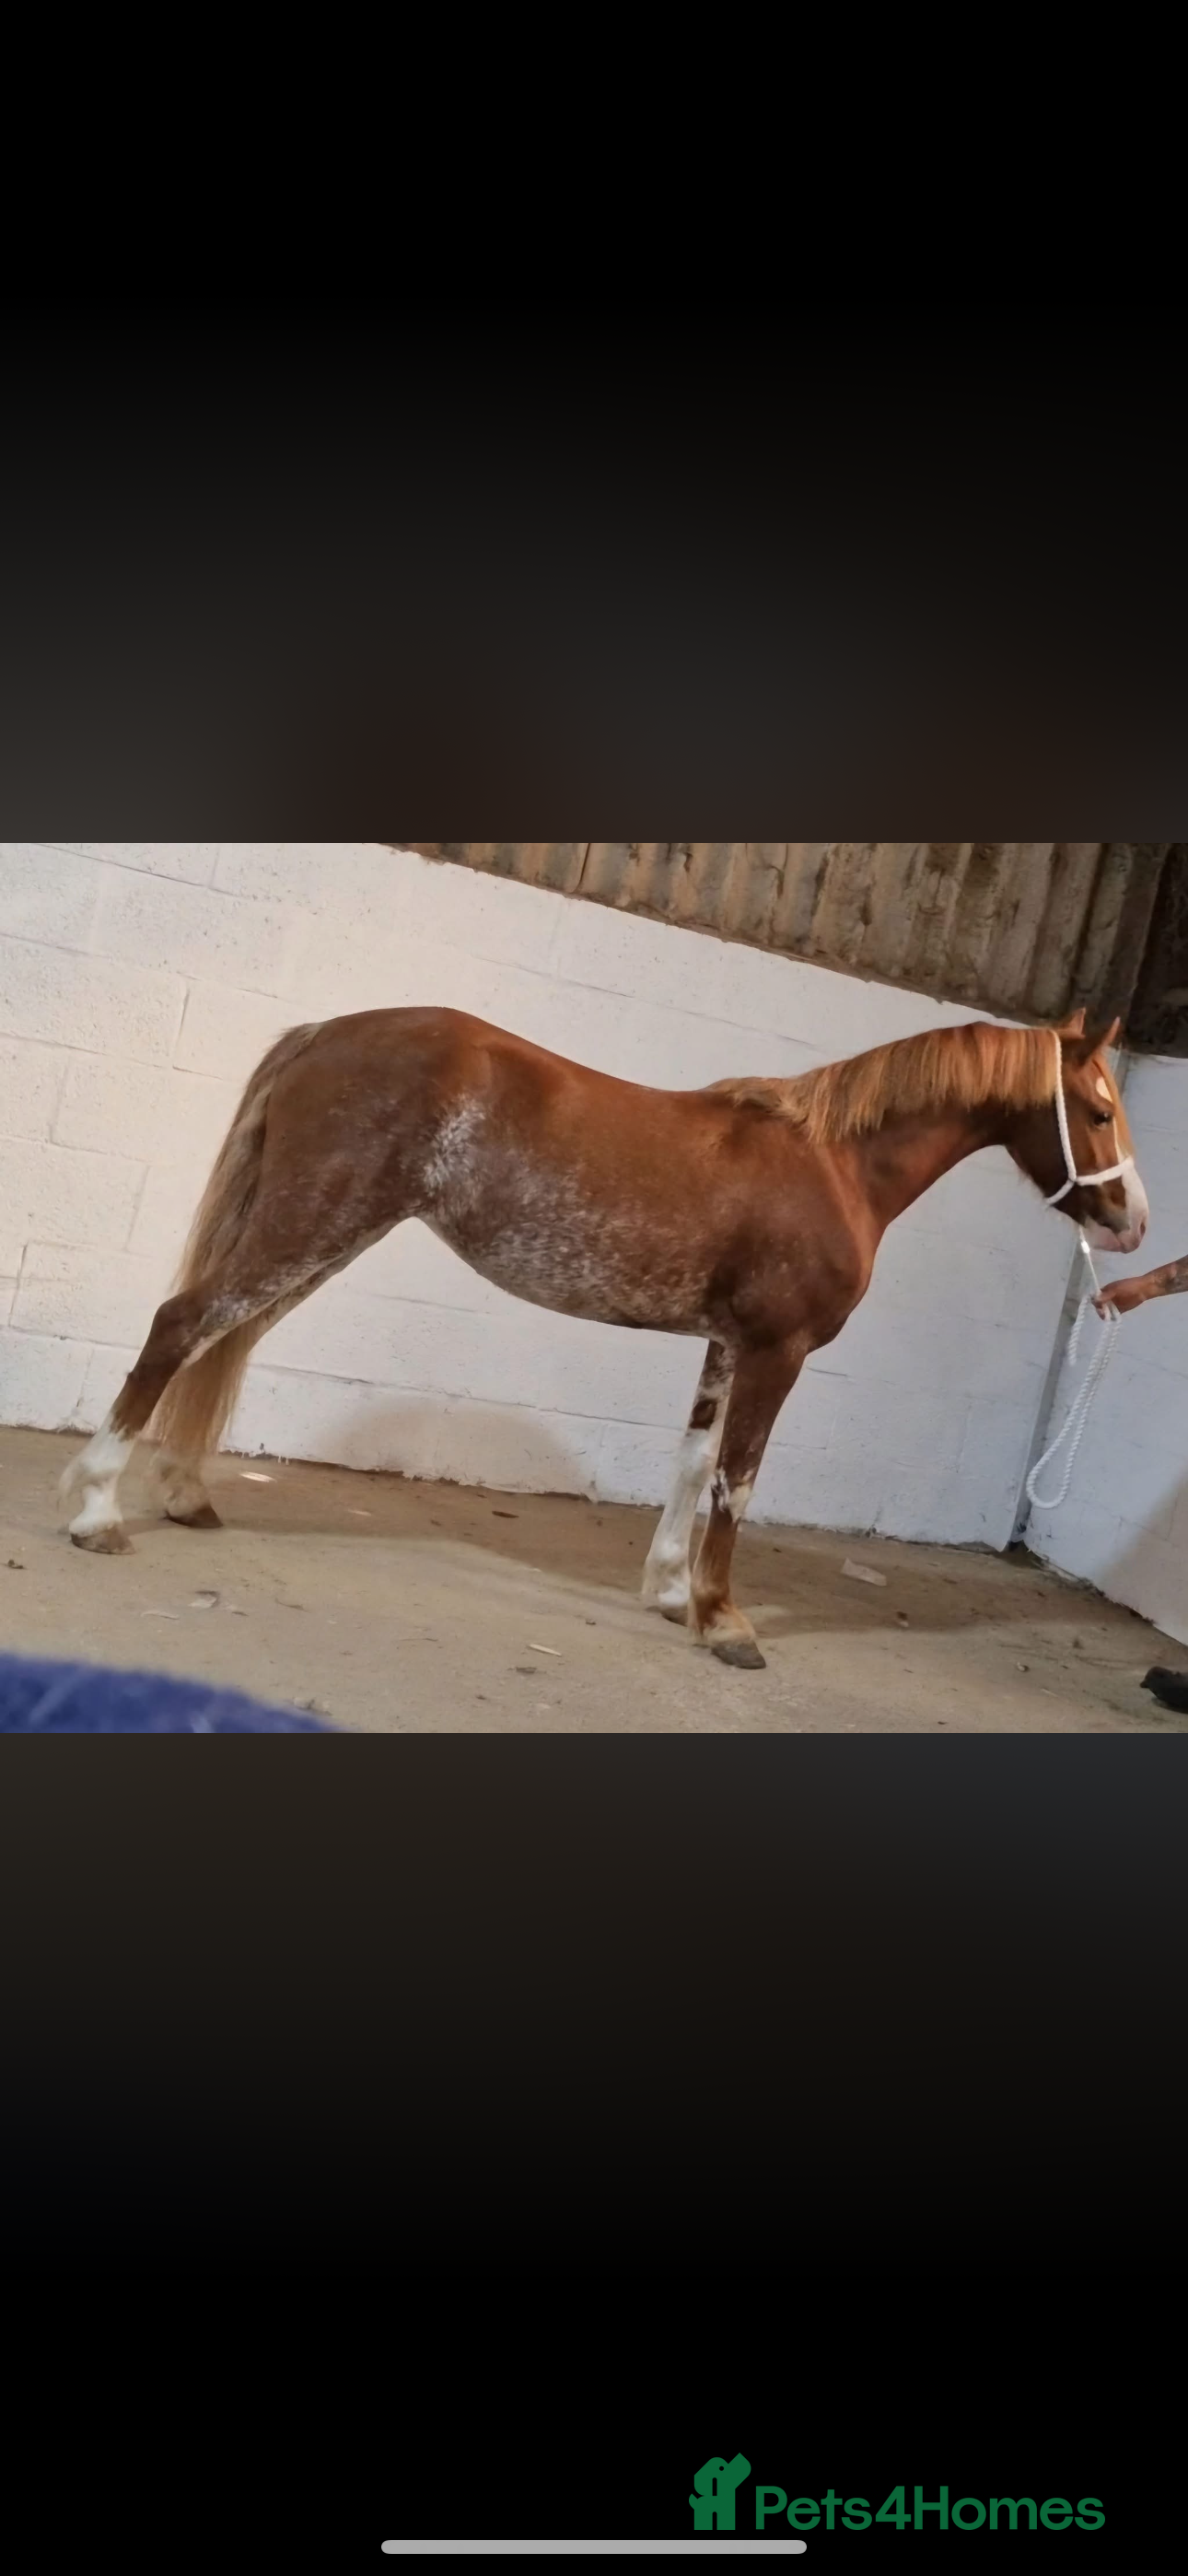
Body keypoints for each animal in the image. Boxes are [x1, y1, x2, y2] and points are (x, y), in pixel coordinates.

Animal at [60, 1002, 1148, 1670]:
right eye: (1099, 1110)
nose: (1133, 1224)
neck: (834, 1164)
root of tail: (329, 1031)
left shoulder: (725, 1343)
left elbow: (691, 1462)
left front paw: (668, 1593)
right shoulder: (778, 1349)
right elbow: (737, 1479)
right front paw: (724, 1621)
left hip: (323, 1236)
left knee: (222, 1342)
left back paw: (183, 1495)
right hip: (310, 1226)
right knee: (182, 1326)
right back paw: (96, 1513)